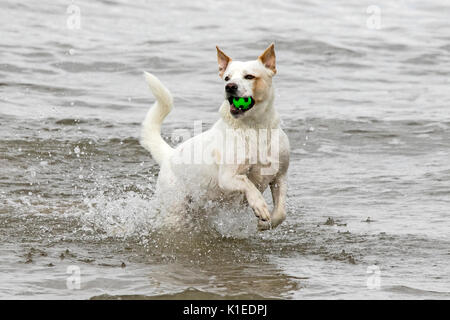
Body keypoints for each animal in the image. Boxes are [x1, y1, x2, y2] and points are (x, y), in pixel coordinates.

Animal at [139, 44, 290, 230]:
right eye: (226, 78)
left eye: (249, 76)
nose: (230, 87)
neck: (255, 128)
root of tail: (169, 154)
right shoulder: (227, 177)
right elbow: (247, 183)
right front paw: (259, 205)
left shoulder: (280, 176)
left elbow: (281, 212)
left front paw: (265, 224)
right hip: (175, 209)